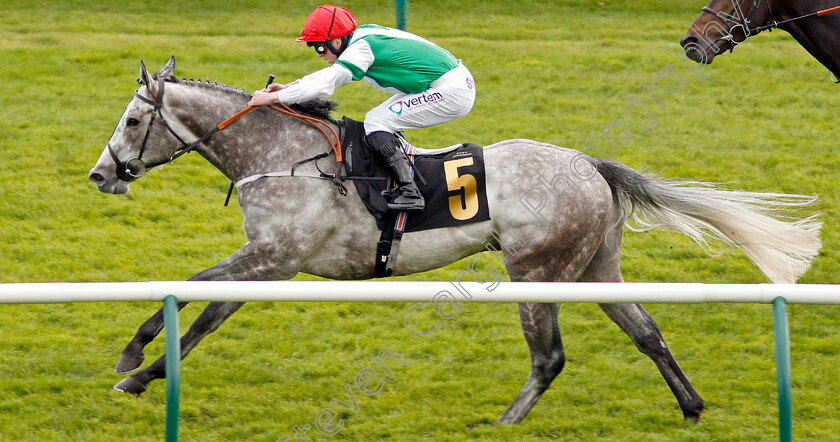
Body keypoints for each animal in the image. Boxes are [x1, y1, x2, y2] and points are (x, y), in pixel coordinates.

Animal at [87, 57, 820, 424]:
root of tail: (591, 164)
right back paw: (691, 407)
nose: (101, 173)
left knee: (550, 357)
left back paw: (504, 425)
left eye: (132, 121)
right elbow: (208, 313)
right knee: (646, 331)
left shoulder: (273, 256)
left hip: (536, 270)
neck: (281, 154)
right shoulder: (273, 263)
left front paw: (131, 359)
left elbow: (194, 294)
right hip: (595, 266)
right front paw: (144, 374)